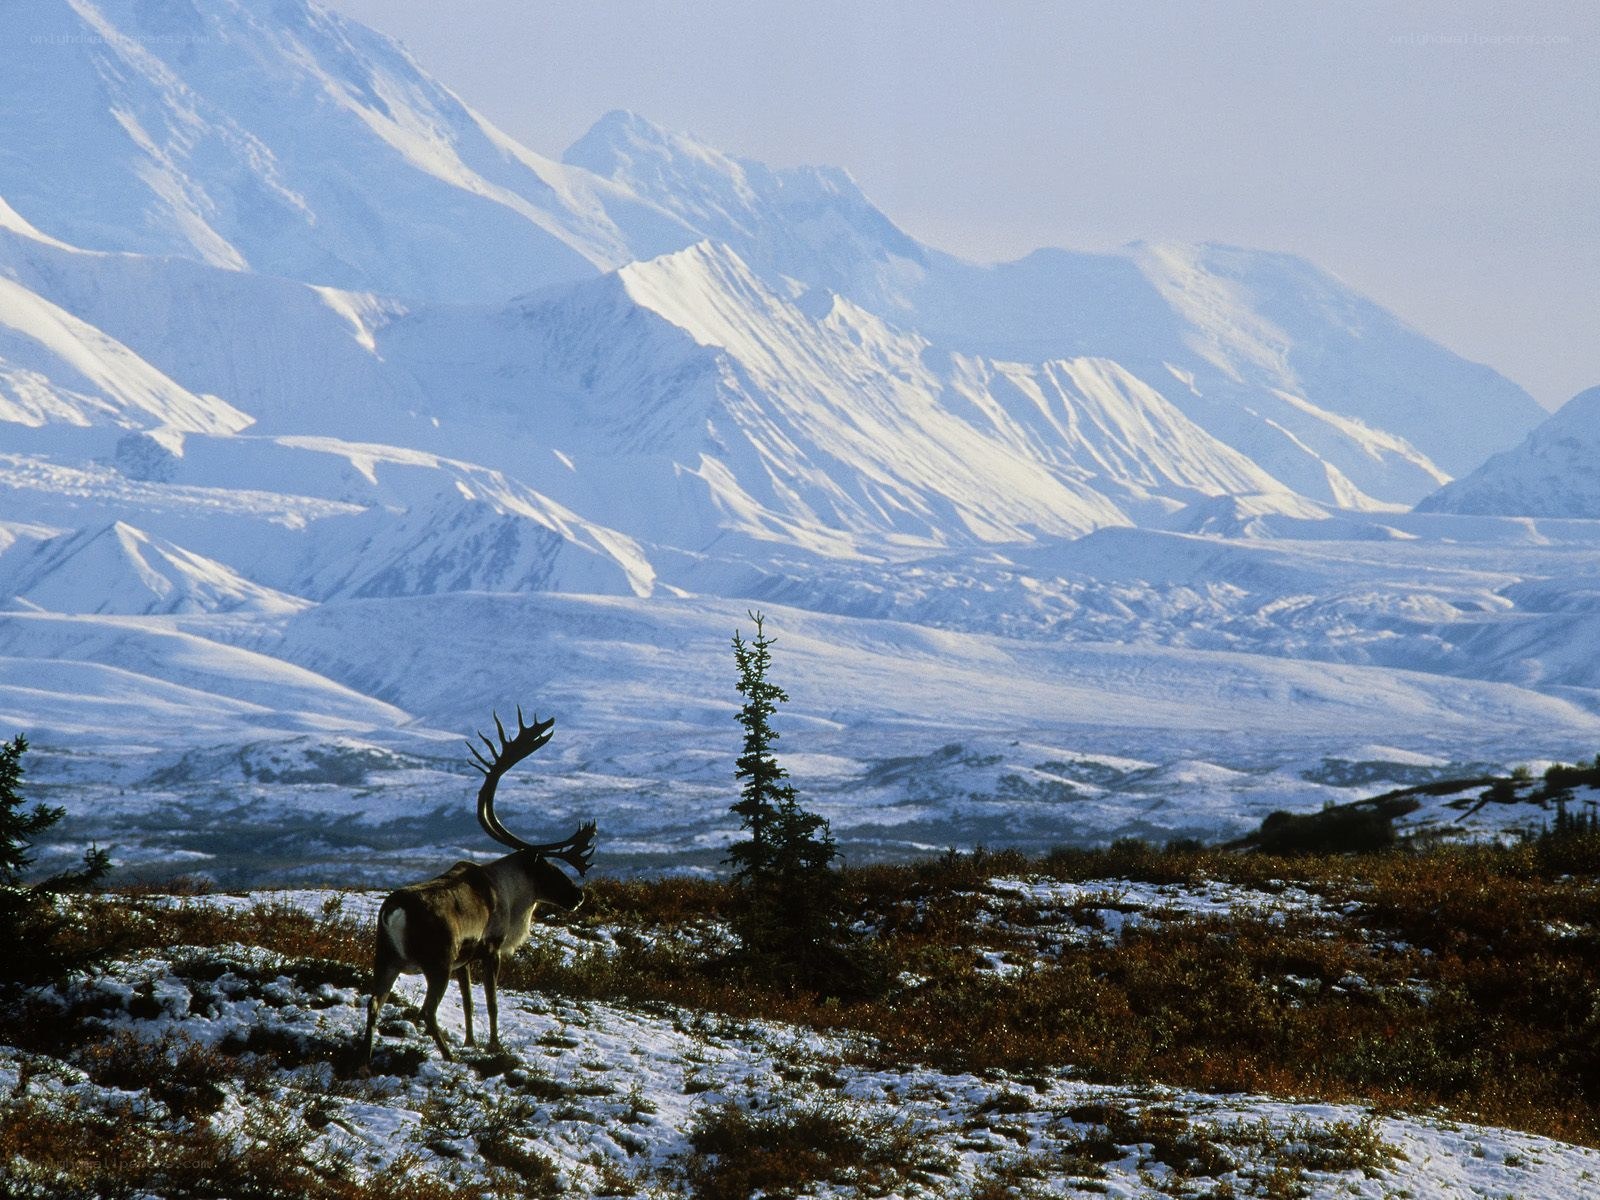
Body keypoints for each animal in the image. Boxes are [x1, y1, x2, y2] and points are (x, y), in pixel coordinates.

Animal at [361, 708, 596, 1065]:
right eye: (549, 867)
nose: (578, 895)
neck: (510, 894)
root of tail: (394, 911)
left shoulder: (465, 962)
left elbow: (470, 1002)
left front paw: (471, 1041)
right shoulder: (491, 949)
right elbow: (492, 1002)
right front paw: (493, 1045)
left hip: (386, 958)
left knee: (373, 1002)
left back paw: (364, 1060)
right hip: (437, 963)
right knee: (426, 1011)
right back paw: (447, 1056)